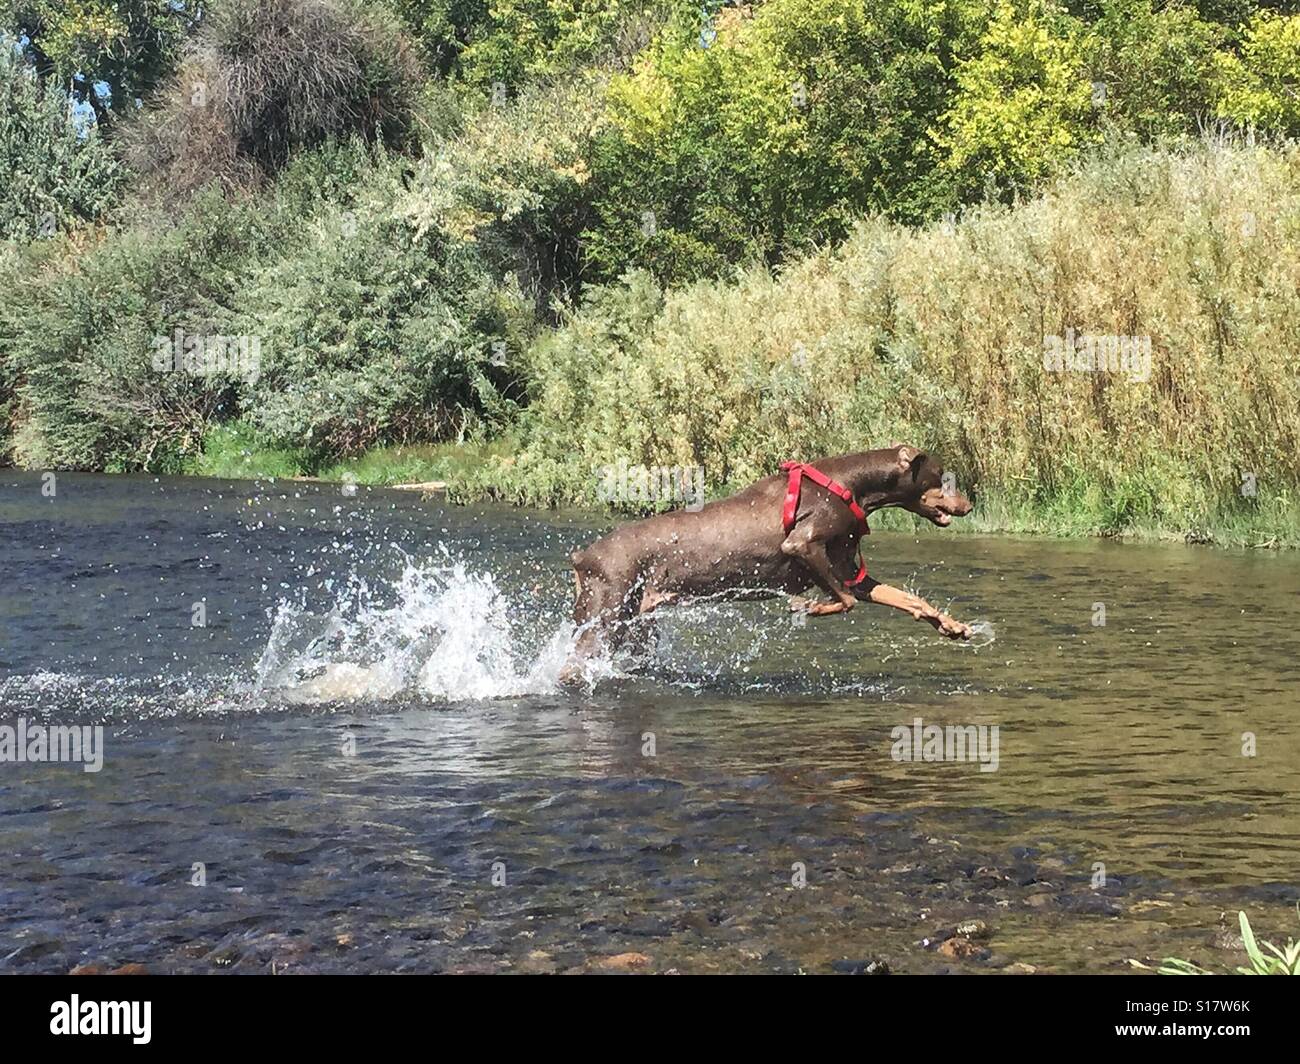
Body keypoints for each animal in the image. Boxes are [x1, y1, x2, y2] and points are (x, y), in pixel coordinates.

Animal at [559, 444, 977, 681]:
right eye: (943, 477)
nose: (969, 504)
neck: (852, 486)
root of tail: (582, 556)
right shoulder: (802, 544)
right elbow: (844, 601)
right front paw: (808, 606)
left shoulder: (848, 569)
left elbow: (907, 599)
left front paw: (950, 625)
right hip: (605, 616)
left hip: (636, 624)